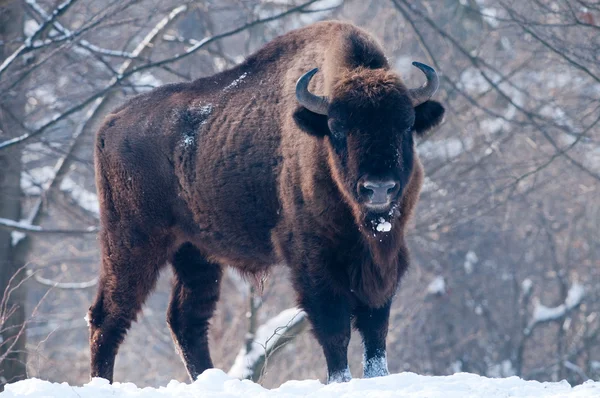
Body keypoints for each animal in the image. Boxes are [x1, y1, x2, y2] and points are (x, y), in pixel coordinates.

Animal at [89, 20, 446, 384]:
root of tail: (109, 124)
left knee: (186, 320)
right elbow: (334, 328)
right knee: (109, 316)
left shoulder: (381, 260)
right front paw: (339, 380)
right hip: (132, 243)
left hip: (195, 252)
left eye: (406, 124)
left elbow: (375, 330)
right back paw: (102, 381)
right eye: (338, 127)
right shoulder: (313, 261)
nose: (379, 188)